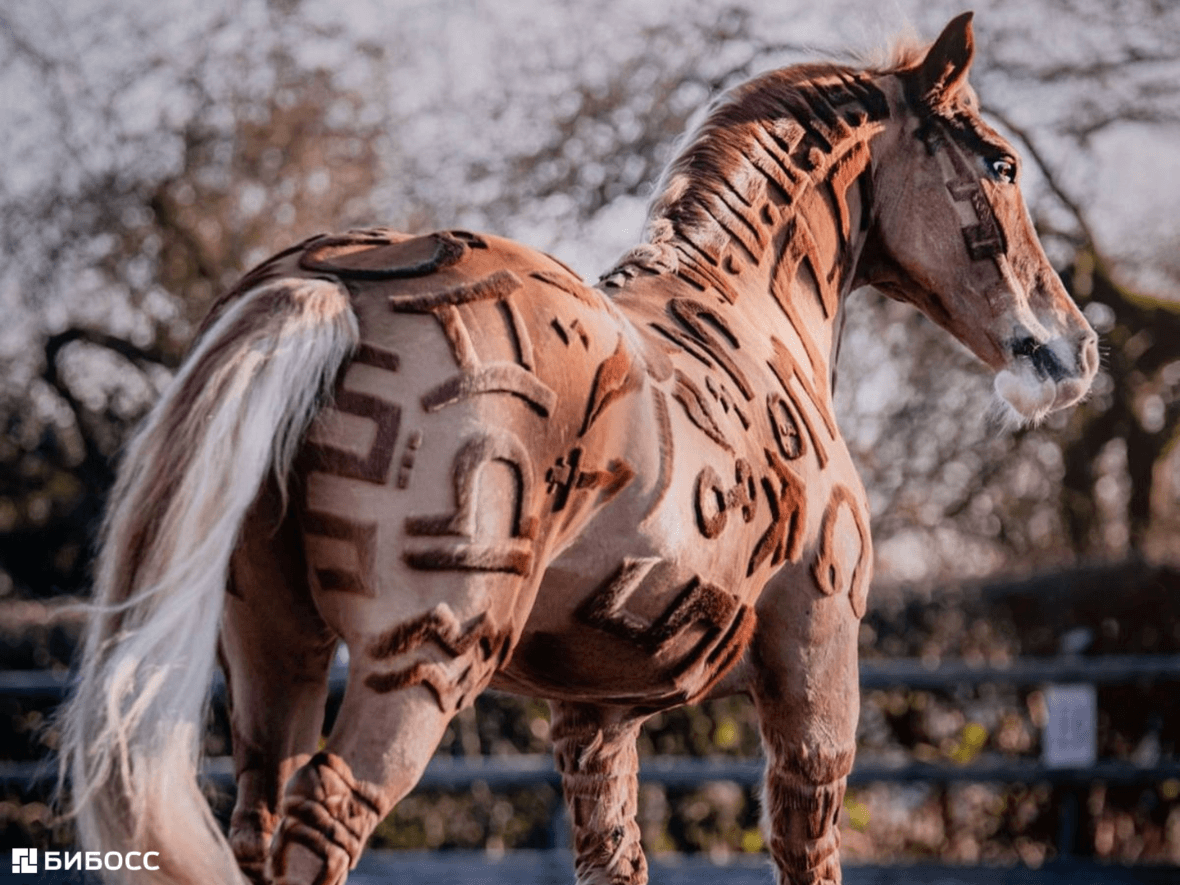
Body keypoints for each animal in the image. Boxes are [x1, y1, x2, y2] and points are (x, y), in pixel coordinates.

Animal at [57, 12, 1097, 885]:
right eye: (1001, 164)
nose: (1077, 346)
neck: (751, 312)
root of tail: (336, 283)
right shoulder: (816, 675)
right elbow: (809, 853)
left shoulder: (594, 719)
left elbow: (613, 858)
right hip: (425, 656)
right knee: (328, 822)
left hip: (275, 660)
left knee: (260, 823)